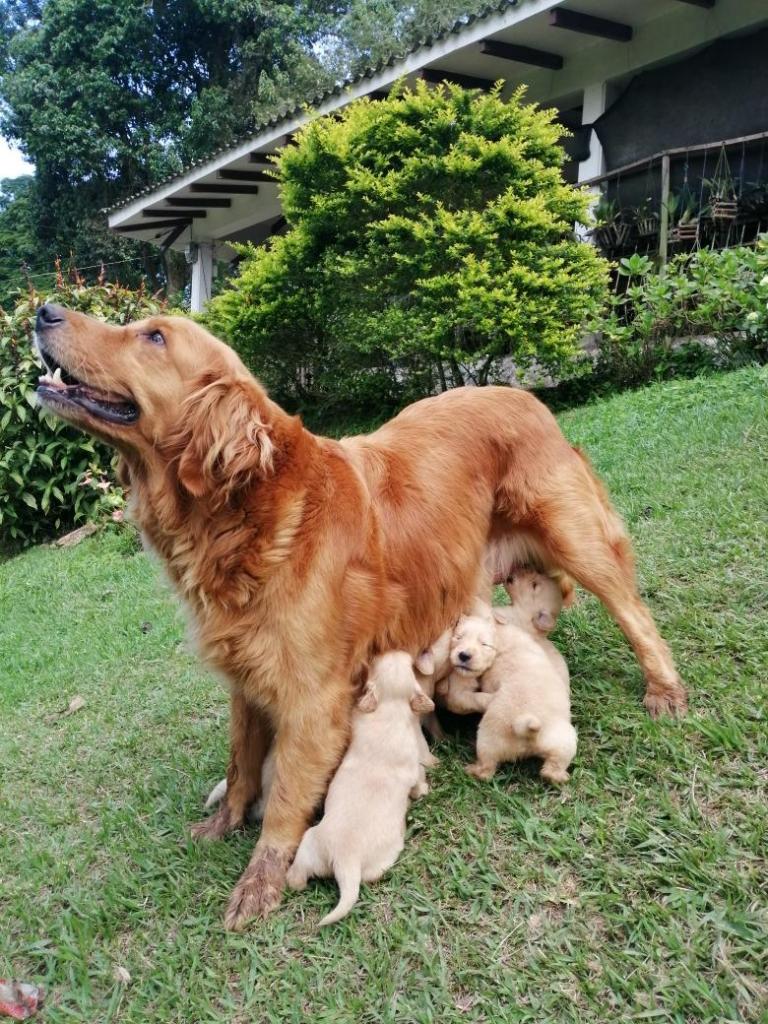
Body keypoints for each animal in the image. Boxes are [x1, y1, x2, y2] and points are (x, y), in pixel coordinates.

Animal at [286, 655, 434, 929]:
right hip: (383, 858)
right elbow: (417, 779)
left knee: (298, 876)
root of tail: (346, 861)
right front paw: (423, 790)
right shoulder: (413, 764)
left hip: (310, 845)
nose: (404, 654)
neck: (389, 708)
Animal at [468, 569, 577, 782]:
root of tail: (529, 732)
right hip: (565, 740)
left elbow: (483, 607)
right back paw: (560, 777)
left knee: (487, 768)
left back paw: (471, 770)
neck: (526, 618)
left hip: (488, 736)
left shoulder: (496, 615)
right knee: (552, 767)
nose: (516, 570)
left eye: (534, 584)